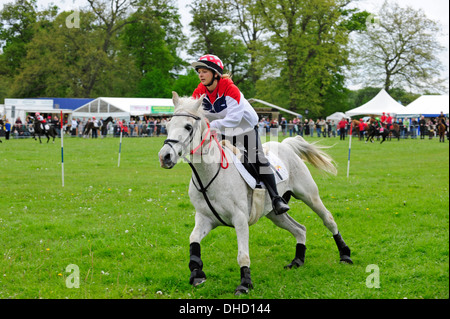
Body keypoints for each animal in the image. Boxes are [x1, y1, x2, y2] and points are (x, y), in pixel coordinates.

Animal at [158, 92, 352, 296]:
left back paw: (345, 254)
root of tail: (286, 145)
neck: (209, 175)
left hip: (309, 195)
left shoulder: (240, 219)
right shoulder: (205, 218)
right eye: (167, 126)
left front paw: (245, 284)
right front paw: (197, 274)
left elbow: (242, 255)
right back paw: (298, 260)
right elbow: (193, 240)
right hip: (275, 214)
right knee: (300, 229)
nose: (164, 157)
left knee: (328, 219)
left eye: (188, 127)